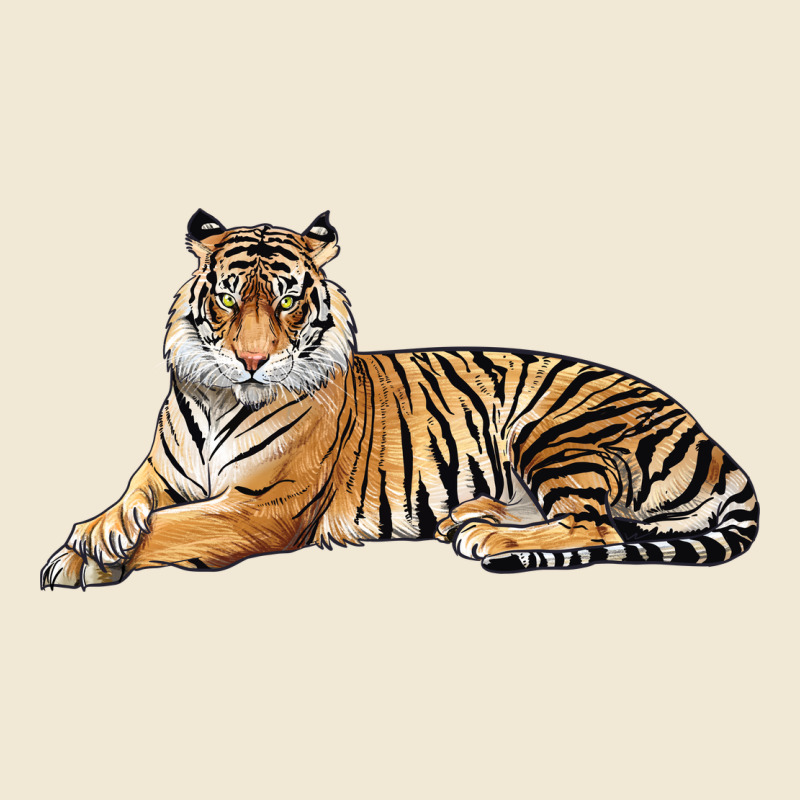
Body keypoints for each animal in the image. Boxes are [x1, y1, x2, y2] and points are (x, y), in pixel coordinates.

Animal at [40, 209, 759, 589]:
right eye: (226, 297)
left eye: (287, 299)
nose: (252, 360)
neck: (220, 400)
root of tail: (711, 439)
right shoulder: (161, 474)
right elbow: (131, 502)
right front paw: (94, 537)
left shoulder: (261, 508)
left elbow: (173, 527)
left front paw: (82, 559)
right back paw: (467, 517)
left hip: (555, 432)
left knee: (596, 524)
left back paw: (486, 538)